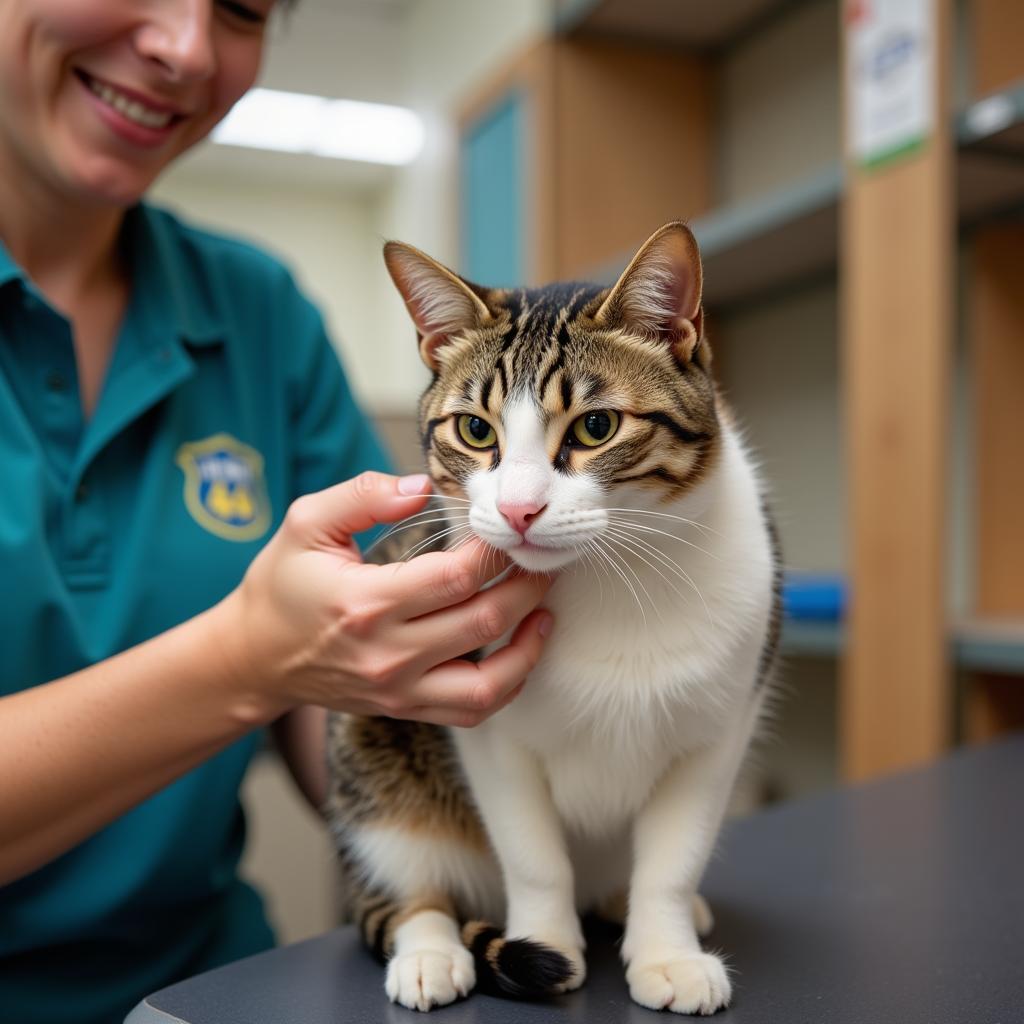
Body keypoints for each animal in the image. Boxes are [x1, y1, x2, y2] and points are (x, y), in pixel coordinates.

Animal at [323, 220, 778, 1011]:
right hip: (367, 759)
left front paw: (667, 951)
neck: (609, 577)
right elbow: (533, 857)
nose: (518, 509)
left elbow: (674, 858)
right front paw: (548, 941)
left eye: (596, 426)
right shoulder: (490, 736)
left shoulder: (717, 730)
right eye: (476, 431)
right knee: (408, 878)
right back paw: (429, 947)